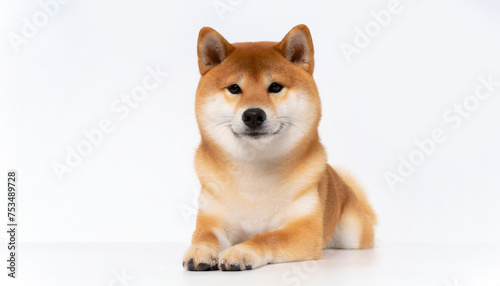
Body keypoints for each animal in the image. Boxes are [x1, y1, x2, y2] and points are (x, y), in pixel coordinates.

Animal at [183, 24, 376, 270]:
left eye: (275, 86)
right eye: (234, 88)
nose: (253, 115)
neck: (254, 173)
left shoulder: (304, 230)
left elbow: (267, 237)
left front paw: (241, 251)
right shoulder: (212, 218)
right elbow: (204, 235)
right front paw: (199, 251)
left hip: (353, 234)